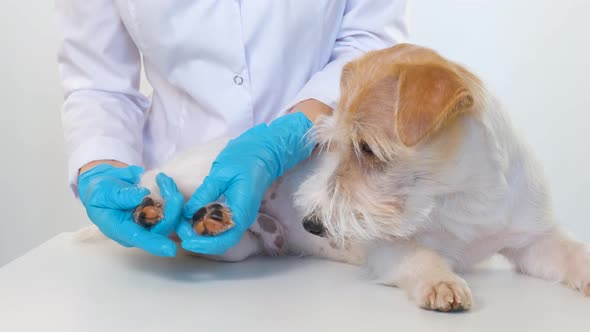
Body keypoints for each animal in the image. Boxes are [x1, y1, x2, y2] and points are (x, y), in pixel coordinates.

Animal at [84, 43, 590, 312]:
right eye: (334, 146)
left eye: (367, 149)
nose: (311, 225)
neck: (460, 199)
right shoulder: (389, 248)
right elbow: (422, 257)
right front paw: (442, 283)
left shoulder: (534, 240)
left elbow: (572, 254)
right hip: (186, 175)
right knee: (154, 188)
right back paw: (148, 211)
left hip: (236, 249)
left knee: (202, 237)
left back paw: (213, 220)